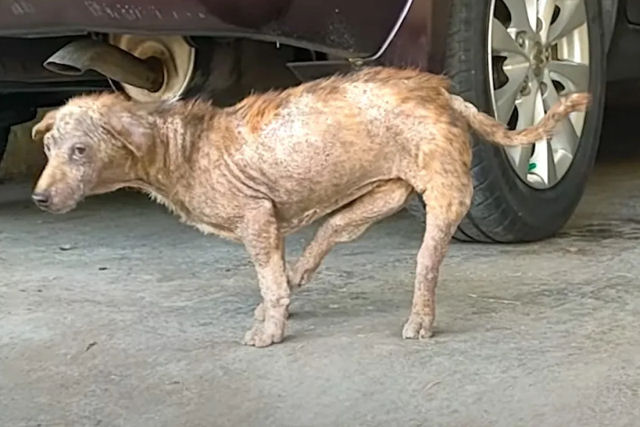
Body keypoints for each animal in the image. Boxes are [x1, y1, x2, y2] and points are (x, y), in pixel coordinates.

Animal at [30, 67, 592, 348]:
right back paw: (301, 274)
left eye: (80, 151)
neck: (181, 148)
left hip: (445, 195)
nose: (39, 197)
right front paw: (275, 307)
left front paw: (270, 332)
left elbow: (269, 284)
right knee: (323, 238)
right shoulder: (272, 224)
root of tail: (441, 95)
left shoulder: (256, 218)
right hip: (373, 200)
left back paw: (420, 320)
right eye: (48, 149)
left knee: (425, 265)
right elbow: (275, 280)